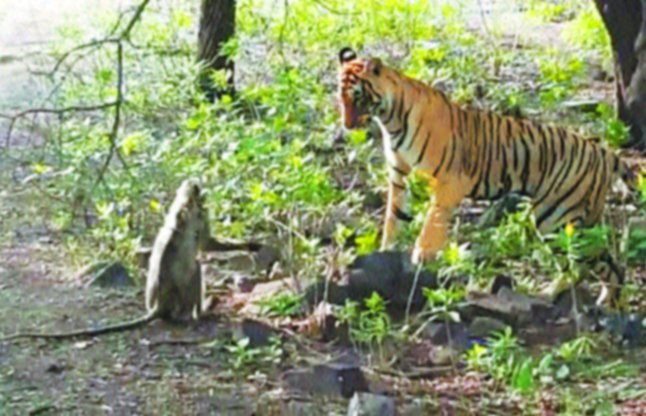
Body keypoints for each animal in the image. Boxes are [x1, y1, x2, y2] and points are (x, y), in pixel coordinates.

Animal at [0, 178, 213, 342]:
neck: (186, 204)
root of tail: (158, 306)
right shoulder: (198, 216)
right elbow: (205, 243)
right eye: (199, 190)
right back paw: (201, 312)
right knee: (196, 268)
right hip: (179, 301)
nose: (203, 193)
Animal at [337, 47, 637, 304]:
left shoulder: (450, 181)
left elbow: (432, 221)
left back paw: (588, 299)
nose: (347, 125)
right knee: (598, 262)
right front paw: (386, 251)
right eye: (341, 99)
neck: (390, 121)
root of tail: (602, 152)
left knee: (594, 263)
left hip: (557, 218)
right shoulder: (400, 178)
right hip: (566, 220)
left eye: (357, 97)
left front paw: (421, 256)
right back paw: (585, 299)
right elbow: (394, 219)